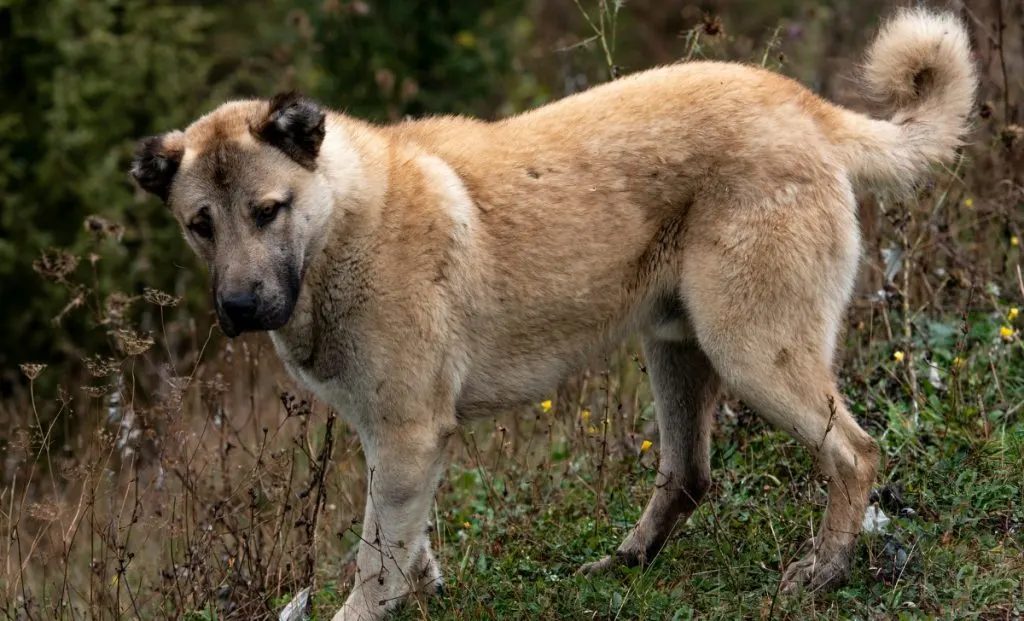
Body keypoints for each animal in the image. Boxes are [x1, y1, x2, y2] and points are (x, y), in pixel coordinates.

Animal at [128, 7, 974, 618]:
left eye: (267, 210)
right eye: (200, 224)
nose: (240, 306)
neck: (342, 226)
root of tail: (808, 107)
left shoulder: (405, 435)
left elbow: (374, 564)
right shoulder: (396, 444)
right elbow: (403, 544)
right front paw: (428, 587)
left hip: (754, 351)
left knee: (854, 454)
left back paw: (823, 571)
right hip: (678, 349)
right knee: (689, 473)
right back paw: (626, 562)